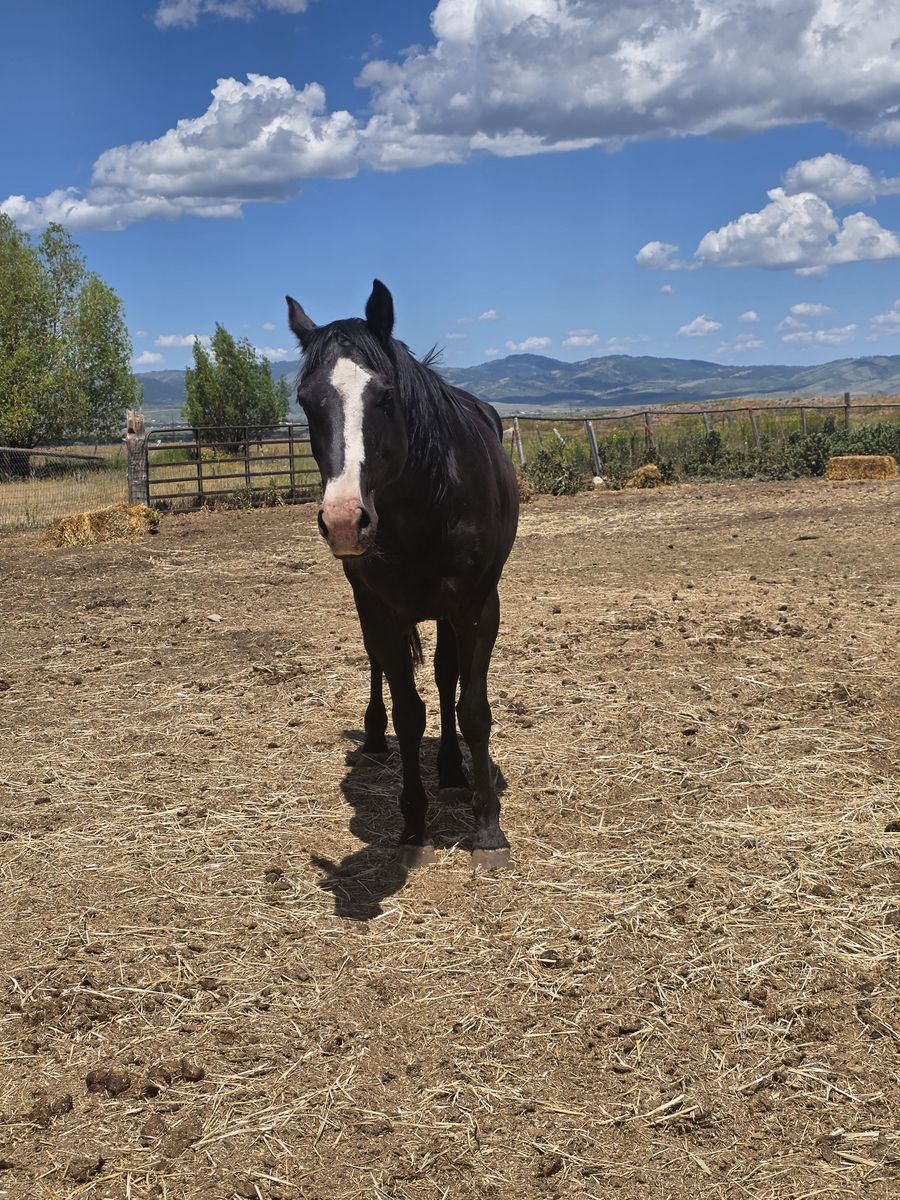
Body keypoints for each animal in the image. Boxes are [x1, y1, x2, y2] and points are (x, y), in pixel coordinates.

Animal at [286, 280, 519, 867]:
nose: (344, 520)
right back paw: (375, 740)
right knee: (382, 670)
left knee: (445, 675)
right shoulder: (383, 609)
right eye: (306, 402)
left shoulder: (478, 606)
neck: (426, 507)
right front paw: (413, 826)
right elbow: (408, 713)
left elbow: (472, 708)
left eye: (385, 397)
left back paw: (454, 772)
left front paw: (488, 829)